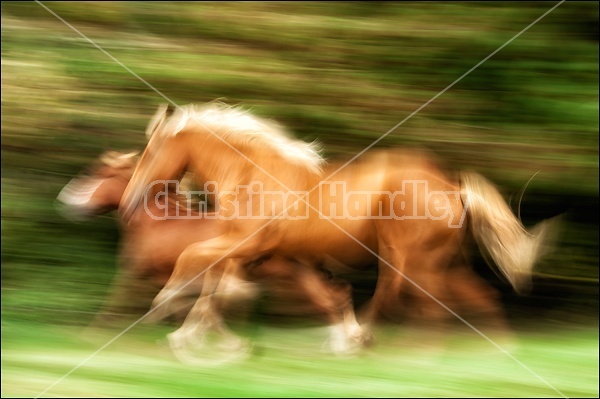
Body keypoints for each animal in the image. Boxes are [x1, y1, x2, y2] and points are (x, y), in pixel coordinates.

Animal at [119, 102, 556, 360]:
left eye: (150, 153)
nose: (126, 203)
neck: (249, 175)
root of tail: (452, 187)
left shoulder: (244, 244)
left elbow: (192, 261)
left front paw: (169, 307)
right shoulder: (256, 254)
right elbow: (216, 285)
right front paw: (199, 338)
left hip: (408, 257)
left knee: (413, 299)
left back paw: (385, 346)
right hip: (440, 263)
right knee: (476, 297)